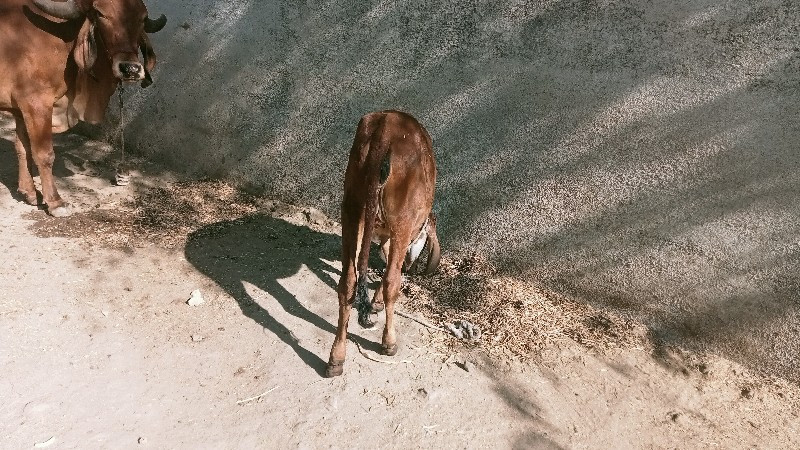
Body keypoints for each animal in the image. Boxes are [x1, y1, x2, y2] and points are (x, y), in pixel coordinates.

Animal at [0, 0, 166, 216]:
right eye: (100, 14)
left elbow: (23, 148)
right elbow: (44, 154)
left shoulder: (20, 108)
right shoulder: (36, 104)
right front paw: (55, 202)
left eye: (143, 18)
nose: (130, 69)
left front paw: (29, 193)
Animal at [324, 110, 440, 378]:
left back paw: (337, 357)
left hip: (351, 208)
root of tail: (388, 127)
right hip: (401, 218)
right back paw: (389, 342)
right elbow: (390, 268)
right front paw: (377, 302)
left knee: (348, 281)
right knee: (391, 281)